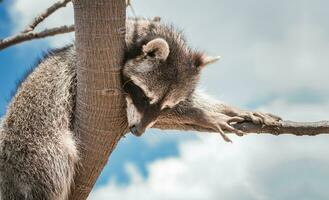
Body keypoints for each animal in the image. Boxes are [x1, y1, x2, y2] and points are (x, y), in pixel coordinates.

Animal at [0, 18, 280, 199]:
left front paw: (226, 108)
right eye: (144, 96)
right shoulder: (83, 79)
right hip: (36, 148)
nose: (138, 132)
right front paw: (206, 115)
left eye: (167, 106)